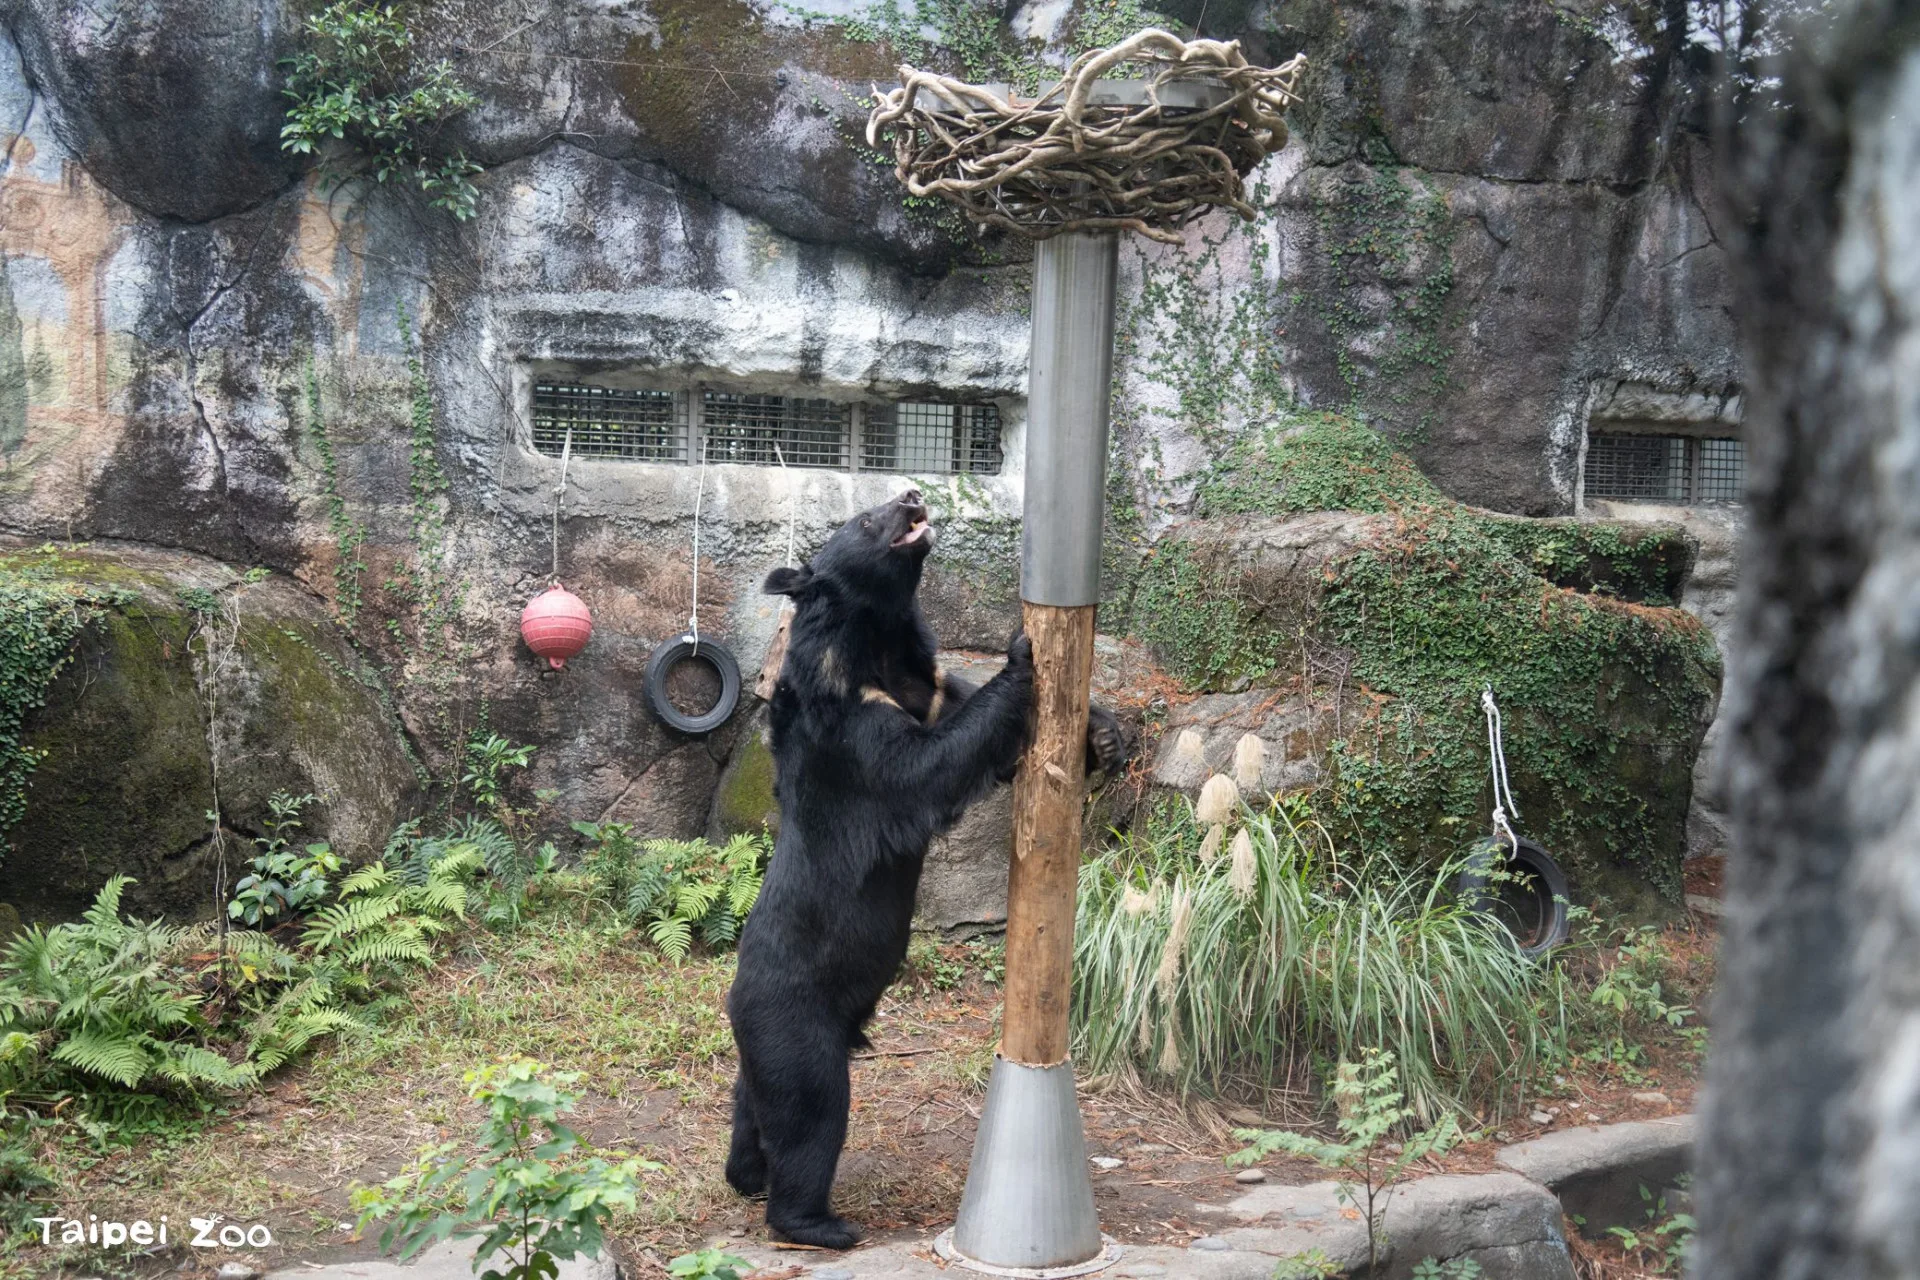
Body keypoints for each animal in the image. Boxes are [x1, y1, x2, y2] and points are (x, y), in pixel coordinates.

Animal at [724, 487, 1127, 1248]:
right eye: (864, 520)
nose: (912, 495)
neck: (875, 642)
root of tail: (736, 999)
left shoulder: (929, 683)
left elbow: (971, 721)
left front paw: (1109, 736)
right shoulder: (855, 734)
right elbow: (929, 767)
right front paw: (1022, 654)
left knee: (753, 1103)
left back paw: (745, 1175)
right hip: (795, 1022)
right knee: (809, 1113)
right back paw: (819, 1223)